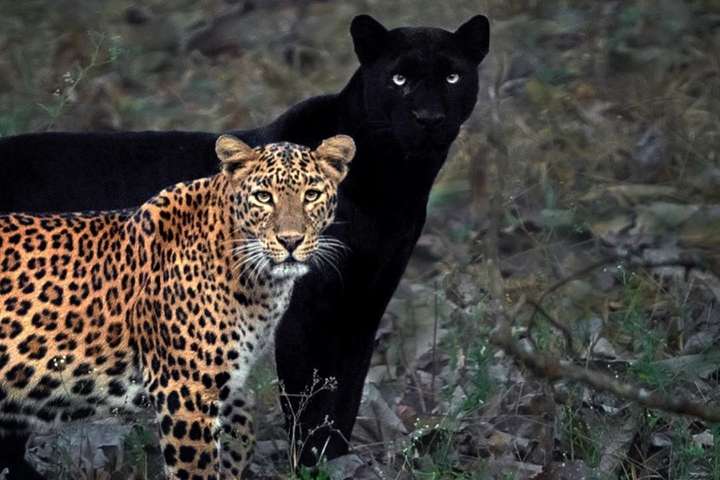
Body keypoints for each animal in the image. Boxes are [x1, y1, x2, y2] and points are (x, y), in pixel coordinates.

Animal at [0, 134, 355, 479]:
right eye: (264, 197)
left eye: (311, 195)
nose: (290, 240)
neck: (257, 281)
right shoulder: (187, 389)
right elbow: (197, 467)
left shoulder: (224, 379)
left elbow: (242, 430)